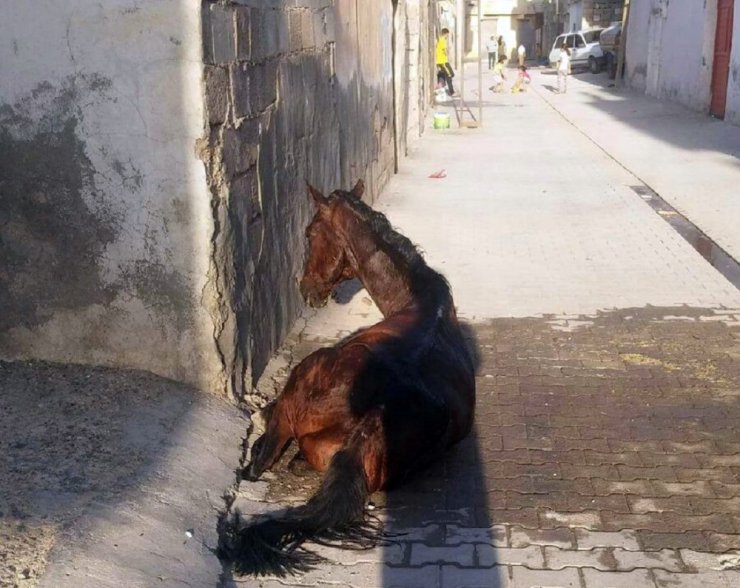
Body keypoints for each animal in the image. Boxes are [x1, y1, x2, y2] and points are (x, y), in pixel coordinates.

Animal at [217, 180, 476, 576]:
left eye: (310, 232)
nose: (307, 288)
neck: (421, 303)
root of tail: (376, 413)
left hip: (298, 390)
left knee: (263, 459)